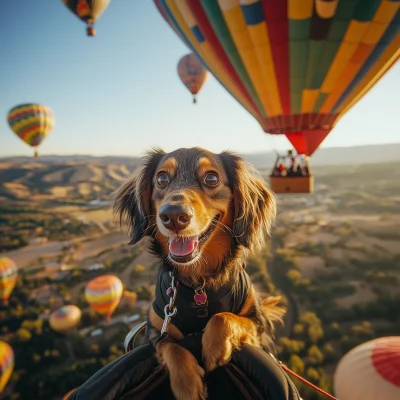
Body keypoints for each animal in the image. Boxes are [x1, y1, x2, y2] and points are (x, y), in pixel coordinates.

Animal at [114, 148, 286, 400]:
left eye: (211, 178)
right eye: (161, 178)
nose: (173, 216)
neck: (198, 283)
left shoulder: (258, 326)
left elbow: (222, 317)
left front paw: (215, 348)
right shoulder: (155, 329)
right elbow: (168, 346)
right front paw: (187, 385)